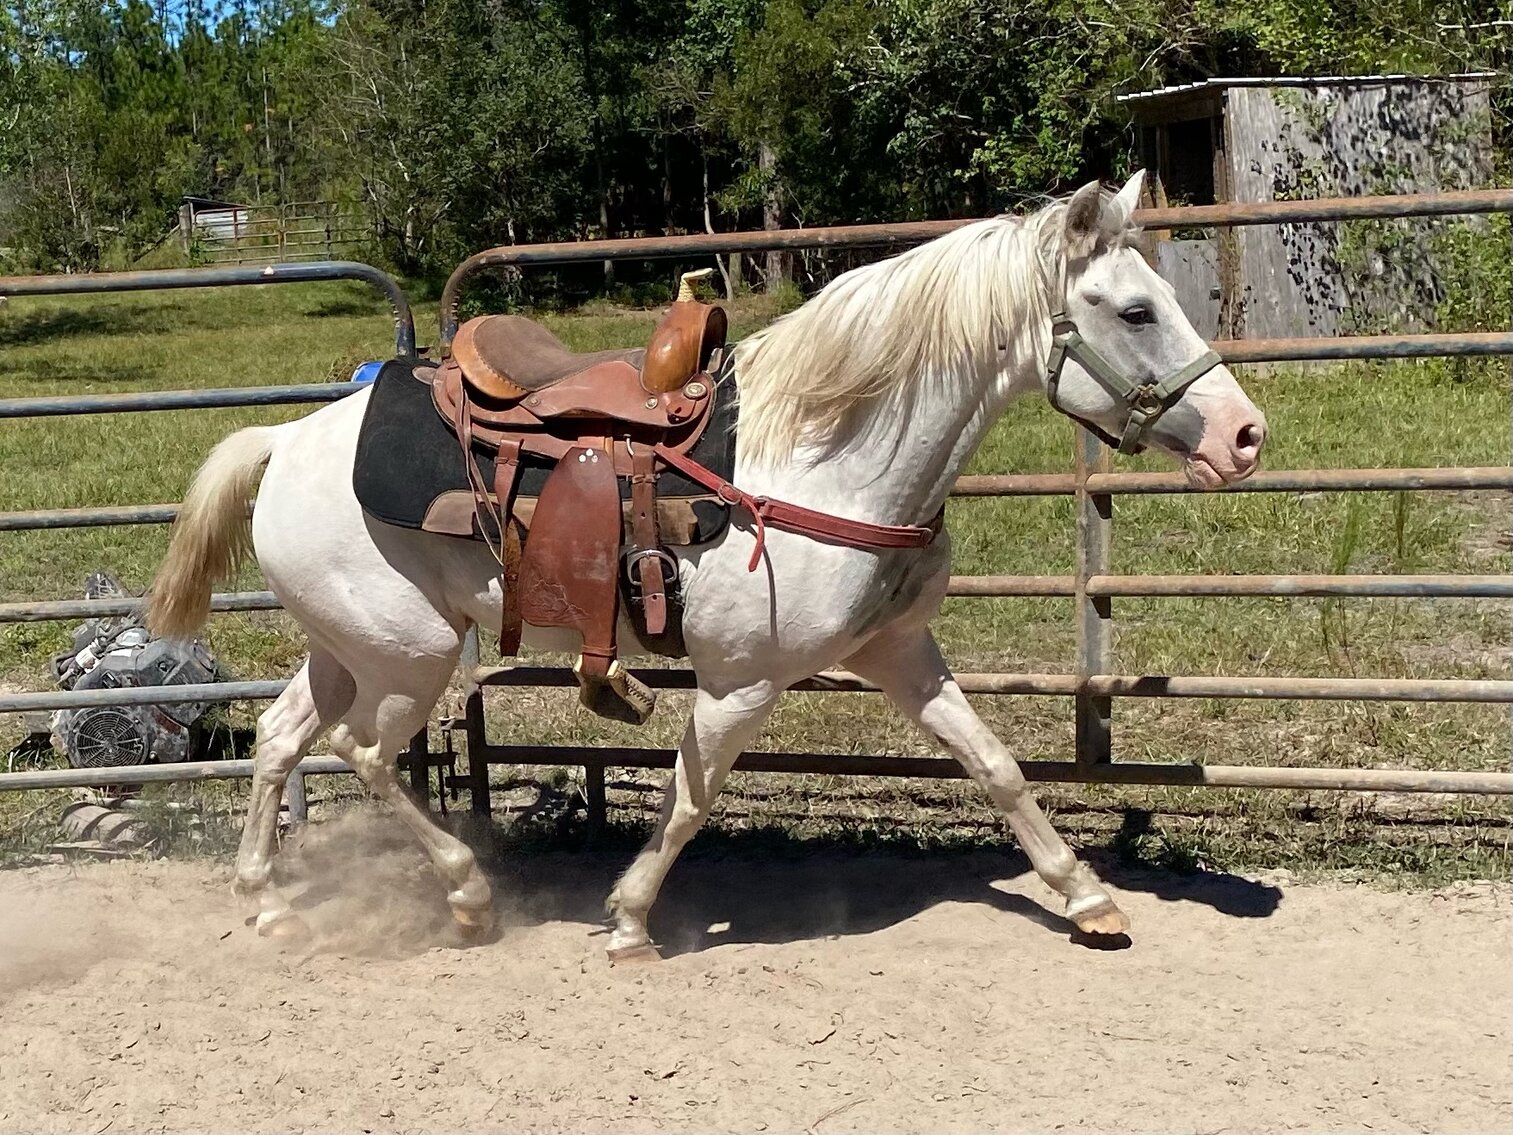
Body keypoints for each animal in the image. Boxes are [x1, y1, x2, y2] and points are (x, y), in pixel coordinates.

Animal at [145, 171, 1266, 958]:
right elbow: (692, 795)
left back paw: (266, 905)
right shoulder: (741, 683)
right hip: (409, 654)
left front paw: (1086, 896)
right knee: (367, 752)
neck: (823, 457)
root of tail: (287, 440)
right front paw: (631, 918)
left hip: (349, 645)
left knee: (282, 739)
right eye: (1133, 310)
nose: (1245, 435)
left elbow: (992, 763)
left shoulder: (900, 650)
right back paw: (464, 894)